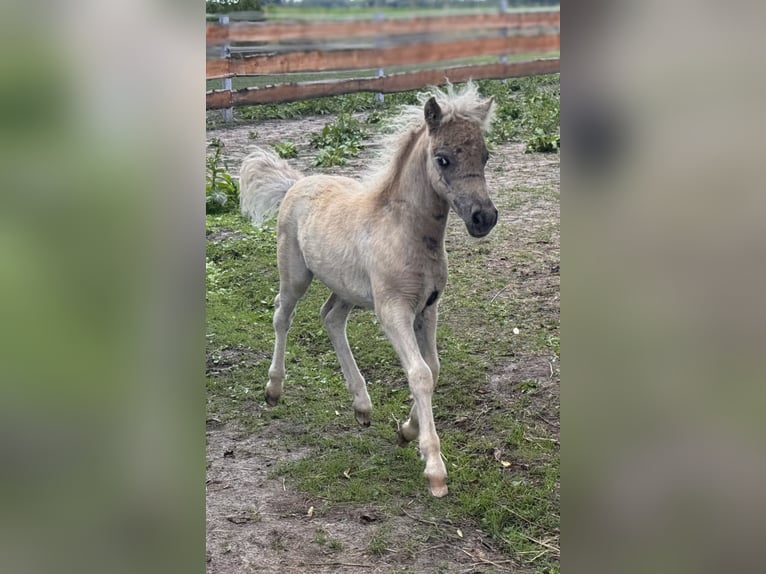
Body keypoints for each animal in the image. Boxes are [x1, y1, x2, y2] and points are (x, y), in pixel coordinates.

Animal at [239, 83, 497, 497]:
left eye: (485, 156)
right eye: (442, 160)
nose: (483, 218)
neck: (406, 231)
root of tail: (297, 182)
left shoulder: (428, 308)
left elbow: (433, 368)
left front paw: (407, 431)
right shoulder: (393, 311)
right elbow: (420, 373)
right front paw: (434, 468)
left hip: (347, 289)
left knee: (330, 318)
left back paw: (362, 405)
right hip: (295, 274)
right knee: (282, 315)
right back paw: (274, 389)